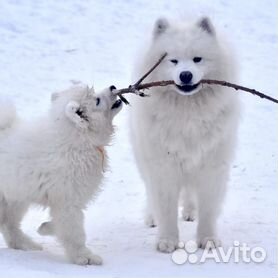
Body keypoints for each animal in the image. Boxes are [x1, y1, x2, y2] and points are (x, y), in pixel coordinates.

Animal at [0, 84, 121, 264]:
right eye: (97, 100)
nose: (113, 86)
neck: (78, 140)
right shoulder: (68, 201)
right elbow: (74, 231)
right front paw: (84, 257)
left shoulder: (65, 202)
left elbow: (62, 224)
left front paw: (44, 228)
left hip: (16, 197)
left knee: (9, 224)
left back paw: (27, 245)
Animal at [130, 16, 241, 252]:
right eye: (173, 61)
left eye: (197, 59)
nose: (186, 74)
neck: (187, 112)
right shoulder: (163, 167)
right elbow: (165, 208)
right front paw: (167, 241)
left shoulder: (211, 166)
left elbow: (208, 209)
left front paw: (208, 240)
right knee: (149, 191)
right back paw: (151, 217)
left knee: (190, 193)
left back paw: (190, 212)